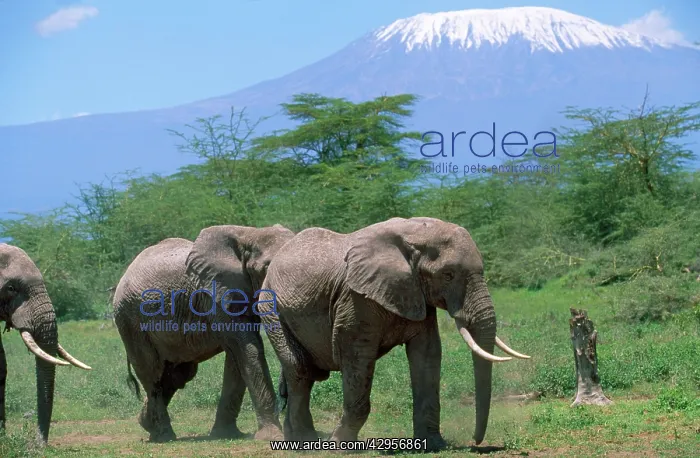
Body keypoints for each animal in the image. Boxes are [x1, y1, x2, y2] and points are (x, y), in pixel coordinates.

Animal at [112, 224, 294, 442]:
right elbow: (247, 347)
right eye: (265, 268)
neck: (249, 233)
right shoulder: (214, 294)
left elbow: (236, 357)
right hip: (130, 320)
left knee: (177, 375)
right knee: (151, 374)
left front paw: (225, 434)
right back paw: (164, 436)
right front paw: (272, 436)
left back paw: (147, 424)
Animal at [257, 217, 530, 450]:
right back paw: (304, 441)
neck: (414, 233)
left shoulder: (416, 293)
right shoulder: (355, 299)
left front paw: (433, 445)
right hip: (271, 309)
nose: (475, 442)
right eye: (448, 275)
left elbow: (427, 354)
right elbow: (357, 356)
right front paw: (340, 446)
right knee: (300, 370)